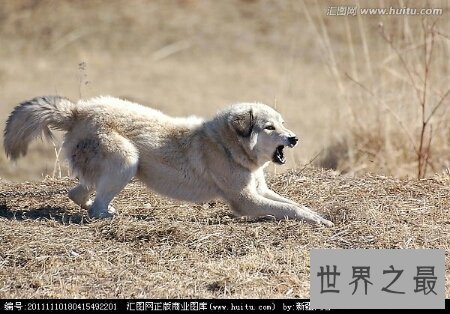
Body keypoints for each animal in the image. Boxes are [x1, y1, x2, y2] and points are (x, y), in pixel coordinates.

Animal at [3, 95, 332, 226]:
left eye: (282, 124)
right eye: (269, 127)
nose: (294, 139)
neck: (226, 146)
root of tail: (78, 111)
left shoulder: (260, 191)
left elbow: (294, 205)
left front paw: (320, 215)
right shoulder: (245, 201)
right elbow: (290, 210)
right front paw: (319, 221)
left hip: (113, 170)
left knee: (77, 193)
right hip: (127, 162)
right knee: (94, 207)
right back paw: (110, 216)